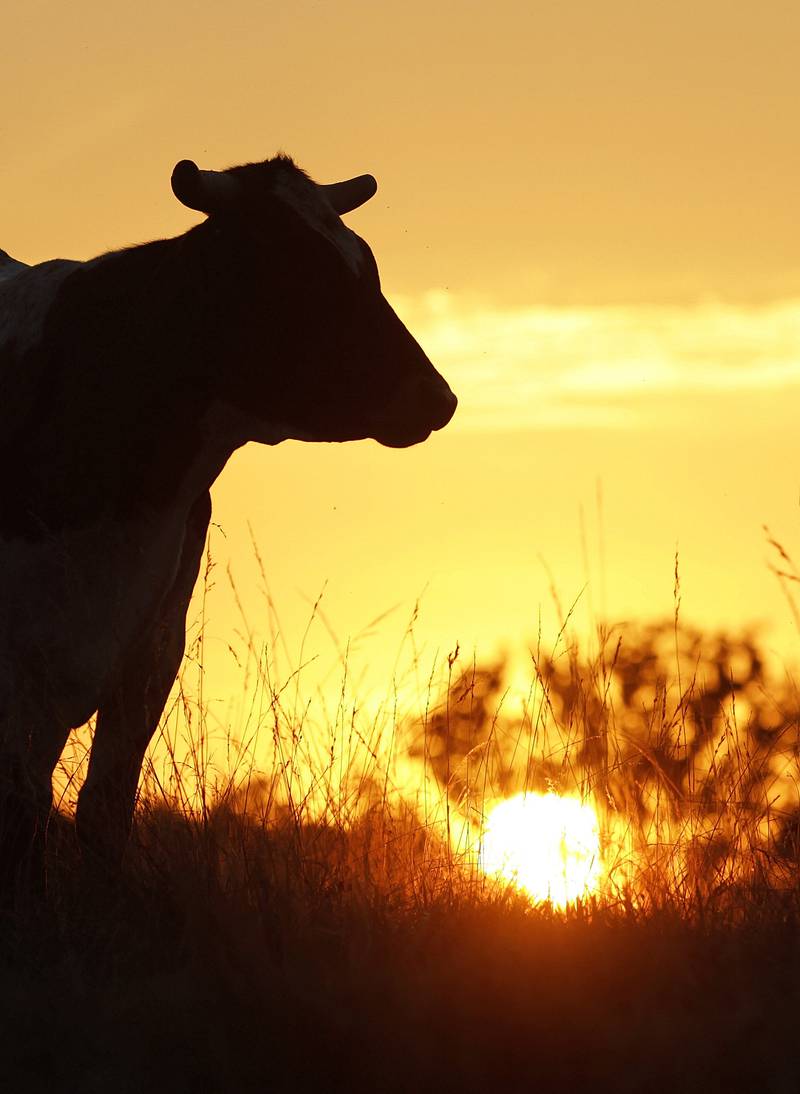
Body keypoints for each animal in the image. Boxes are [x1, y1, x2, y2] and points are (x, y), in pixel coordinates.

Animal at [0, 153, 457, 891]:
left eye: (365, 264)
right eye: (300, 272)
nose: (437, 397)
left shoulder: (149, 652)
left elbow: (102, 811)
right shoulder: (24, 667)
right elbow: (22, 821)